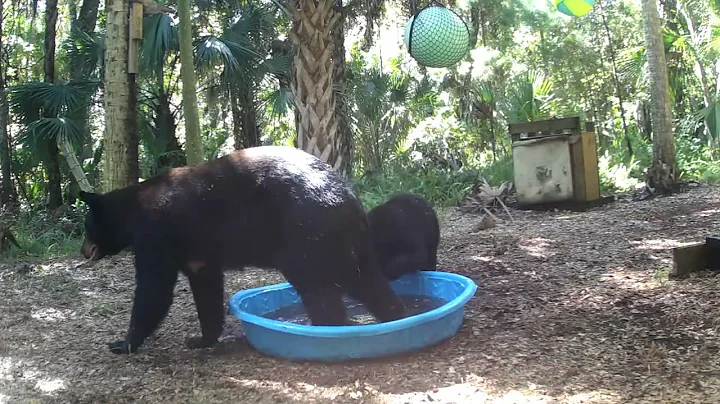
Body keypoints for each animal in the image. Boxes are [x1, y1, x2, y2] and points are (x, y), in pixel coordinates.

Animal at [79, 145, 406, 354]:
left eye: (86, 224)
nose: (84, 250)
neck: (134, 212)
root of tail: (348, 196)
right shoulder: (199, 256)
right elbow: (207, 290)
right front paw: (201, 339)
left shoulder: (156, 235)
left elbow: (154, 290)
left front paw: (122, 343)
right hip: (344, 242)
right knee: (365, 280)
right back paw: (395, 317)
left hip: (307, 234)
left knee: (319, 287)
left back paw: (324, 329)